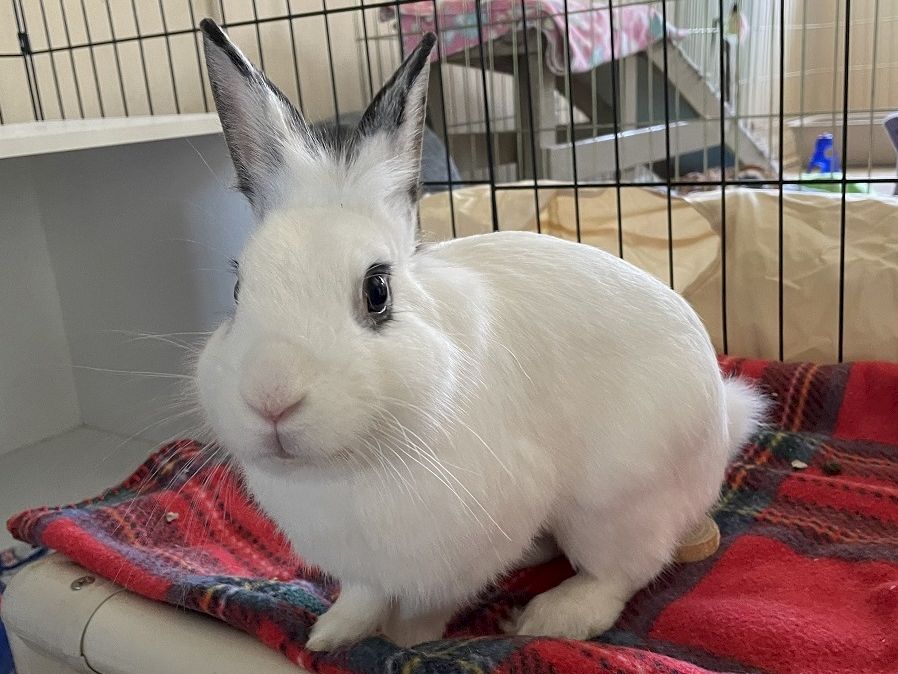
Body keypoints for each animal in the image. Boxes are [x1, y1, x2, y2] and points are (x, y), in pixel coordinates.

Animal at [194, 20, 767, 652]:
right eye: (238, 288)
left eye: (377, 292)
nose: (271, 398)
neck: (352, 465)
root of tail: (722, 421)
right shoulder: (363, 567)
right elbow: (362, 597)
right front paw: (329, 635)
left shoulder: (458, 552)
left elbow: (426, 608)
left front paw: (408, 642)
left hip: (620, 502)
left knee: (621, 573)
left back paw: (550, 616)